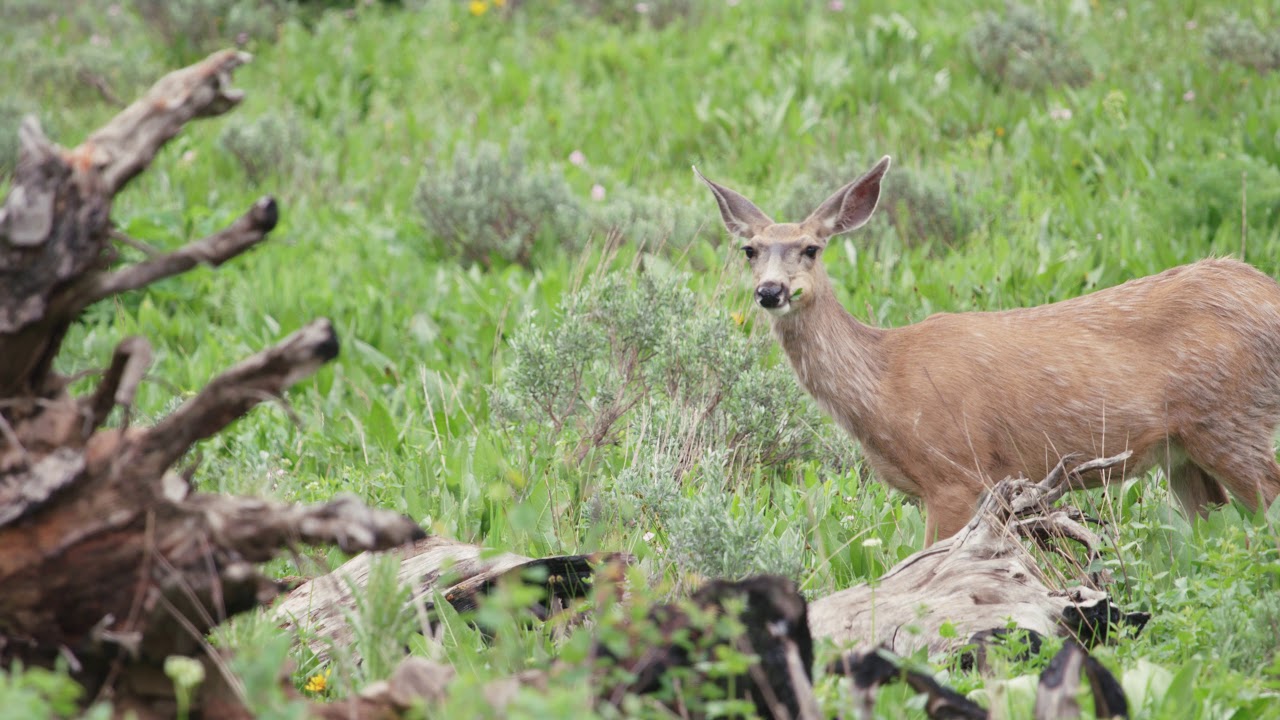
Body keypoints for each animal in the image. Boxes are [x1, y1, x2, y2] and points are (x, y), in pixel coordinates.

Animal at [696, 154, 1280, 540]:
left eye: (812, 249)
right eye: (749, 250)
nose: (771, 291)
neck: (884, 383)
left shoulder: (955, 471)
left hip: (1232, 420)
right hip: (1183, 451)